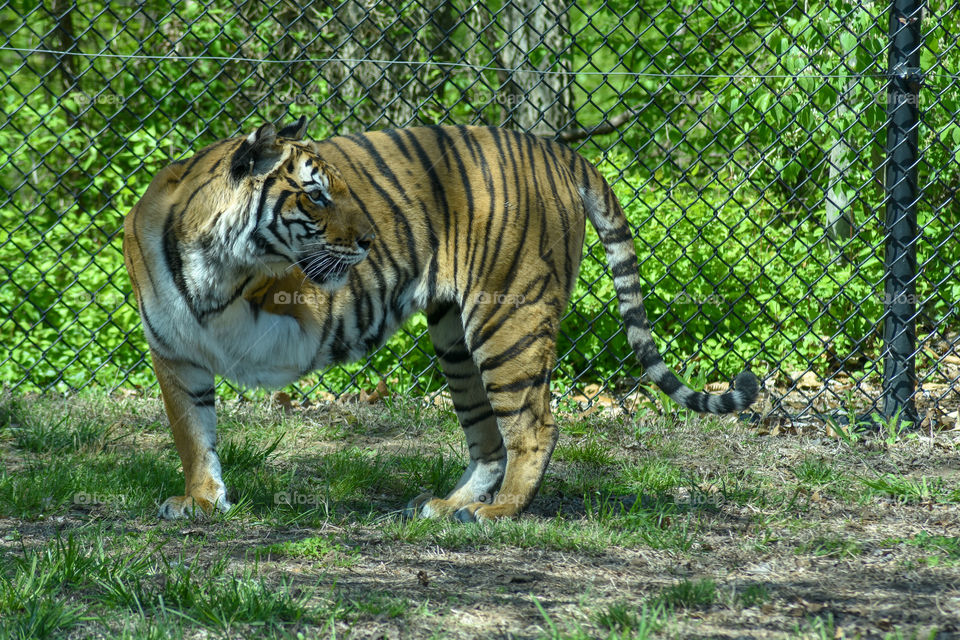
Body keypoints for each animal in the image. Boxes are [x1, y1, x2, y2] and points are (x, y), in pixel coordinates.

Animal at [123, 116, 759, 522]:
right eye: (317, 195)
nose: (369, 241)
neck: (213, 258)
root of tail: (557, 149)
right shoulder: (174, 351)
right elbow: (192, 434)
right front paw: (203, 501)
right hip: (455, 337)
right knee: (490, 439)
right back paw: (450, 506)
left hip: (507, 321)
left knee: (534, 427)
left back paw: (497, 513)